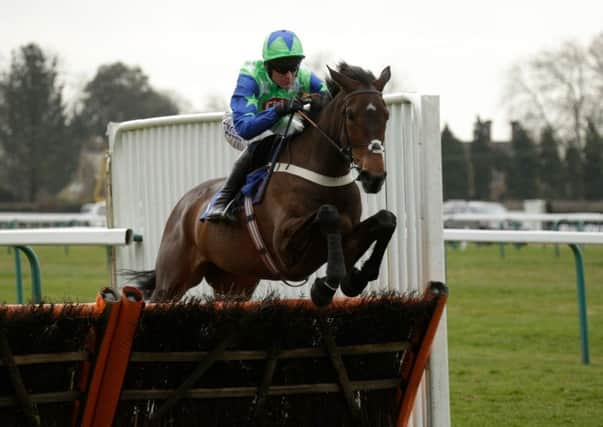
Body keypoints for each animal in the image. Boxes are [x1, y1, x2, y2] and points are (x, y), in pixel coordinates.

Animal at [133, 61, 396, 308]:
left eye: (386, 115)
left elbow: (385, 220)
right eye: (350, 114)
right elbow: (329, 214)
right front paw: (326, 286)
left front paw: (357, 277)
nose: (374, 176)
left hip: (235, 282)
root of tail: (184, 205)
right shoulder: (284, 246)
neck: (324, 175)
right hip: (172, 279)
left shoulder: (348, 234)